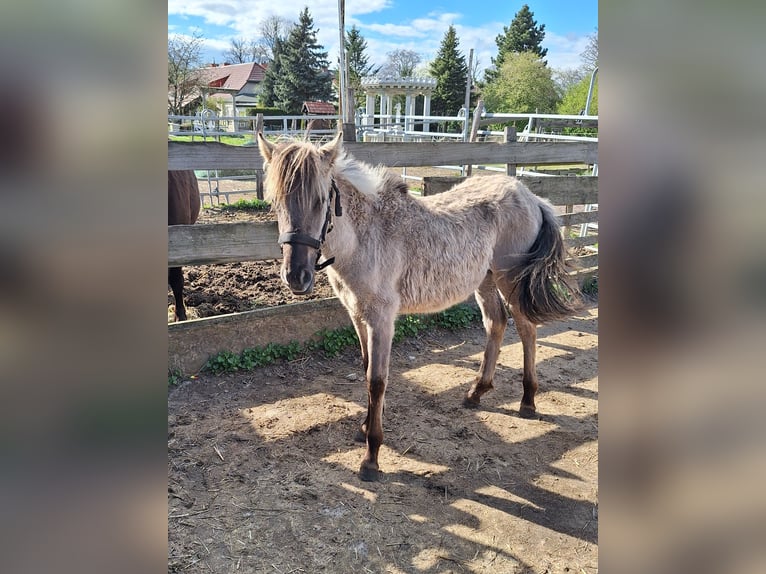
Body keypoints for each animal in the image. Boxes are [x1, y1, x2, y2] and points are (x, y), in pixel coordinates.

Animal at [258, 134, 584, 482]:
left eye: (321, 200)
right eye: (275, 203)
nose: (296, 276)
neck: (366, 238)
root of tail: (532, 197)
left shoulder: (382, 318)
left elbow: (377, 380)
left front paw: (371, 458)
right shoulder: (357, 315)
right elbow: (366, 368)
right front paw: (364, 427)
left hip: (510, 278)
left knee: (526, 329)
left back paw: (528, 400)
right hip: (484, 279)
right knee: (496, 323)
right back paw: (476, 392)